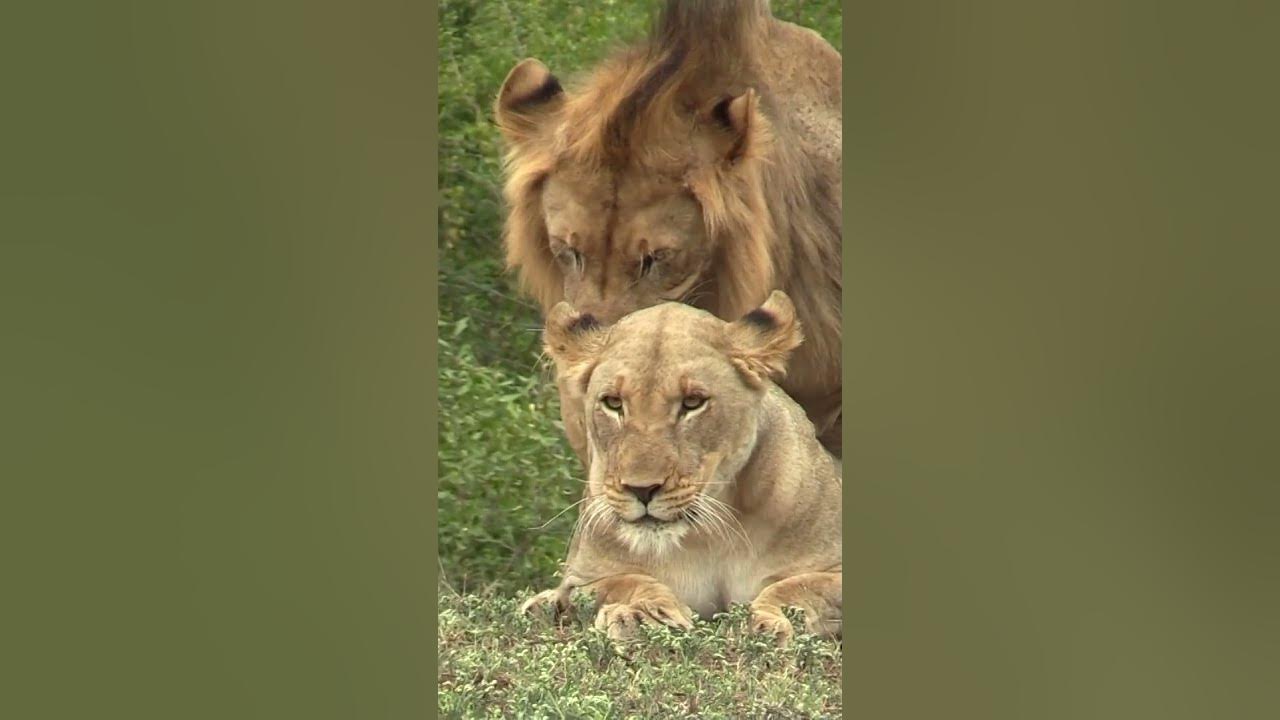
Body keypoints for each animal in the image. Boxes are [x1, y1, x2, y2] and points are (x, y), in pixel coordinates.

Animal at [521, 291, 841, 644]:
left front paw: (766, 624)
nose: (642, 489)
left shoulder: (833, 566)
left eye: (693, 402)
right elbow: (622, 581)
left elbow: (800, 585)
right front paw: (643, 615)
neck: (707, 535)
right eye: (614, 403)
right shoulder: (585, 574)